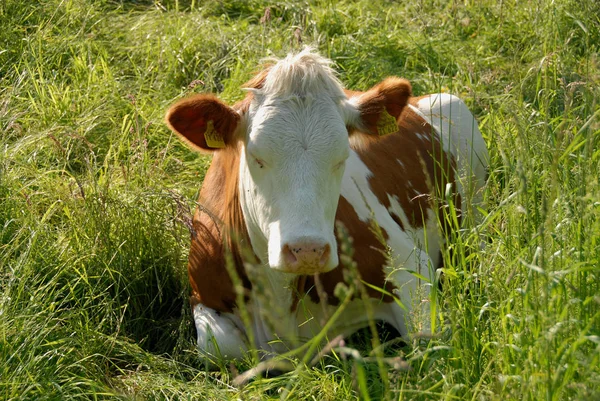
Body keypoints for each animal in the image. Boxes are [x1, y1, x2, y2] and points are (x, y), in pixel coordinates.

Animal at [164, 48, 488, 360]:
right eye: (257, 157)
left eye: (343, 156)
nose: (307, 249)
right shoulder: (201, 293)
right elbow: (219, 348)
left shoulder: (410, 266)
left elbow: (429, 342)